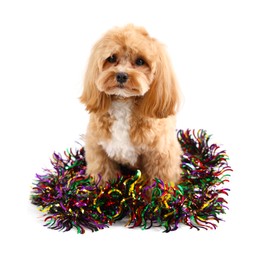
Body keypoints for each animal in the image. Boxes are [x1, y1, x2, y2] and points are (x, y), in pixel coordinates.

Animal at [80, 24, 182, 186]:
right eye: (111, 58)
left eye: (140, 61)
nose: (121, 75)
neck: (124, 102)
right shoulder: (98, 150)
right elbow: (102, 178)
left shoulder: (161, 155)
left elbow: (160, 184)